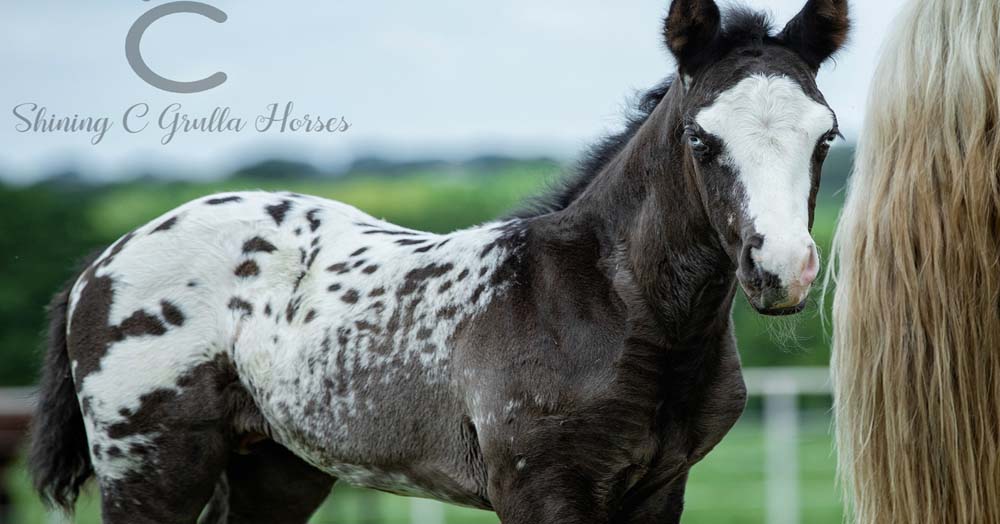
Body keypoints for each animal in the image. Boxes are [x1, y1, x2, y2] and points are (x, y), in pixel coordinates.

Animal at [31, 2, 848, 520]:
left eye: (827, 136)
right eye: (700, 138)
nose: (782, 270)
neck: (618, 310)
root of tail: (104, 260)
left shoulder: (660, 490)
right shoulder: (542, 490)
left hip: (276, 467)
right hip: (147, 465)